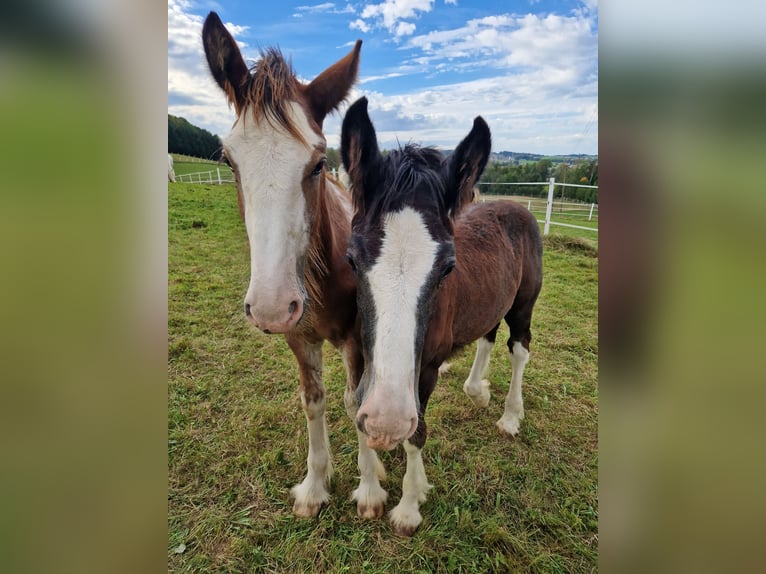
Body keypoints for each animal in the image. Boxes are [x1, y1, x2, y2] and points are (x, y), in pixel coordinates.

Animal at [202, 13, 390, 521]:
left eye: (318, 162)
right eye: (229, 161)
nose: (270, 306)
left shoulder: (355, 336)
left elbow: (356, 402)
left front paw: (369, 489)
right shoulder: (298, 337)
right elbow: (314, 401)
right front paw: (314, 486)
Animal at [340, 97, 543, 535]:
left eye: (448, 268)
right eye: (351, 259)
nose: (386, 422)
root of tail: (516, 207)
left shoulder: (425, 370)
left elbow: (417, 433)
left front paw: (409, 506)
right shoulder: (362, 354)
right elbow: (357, 404)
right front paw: (370, 490)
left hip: (523, 306)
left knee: (519, 348)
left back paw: (510, 416)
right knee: (487, 335)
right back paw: (476, 389)